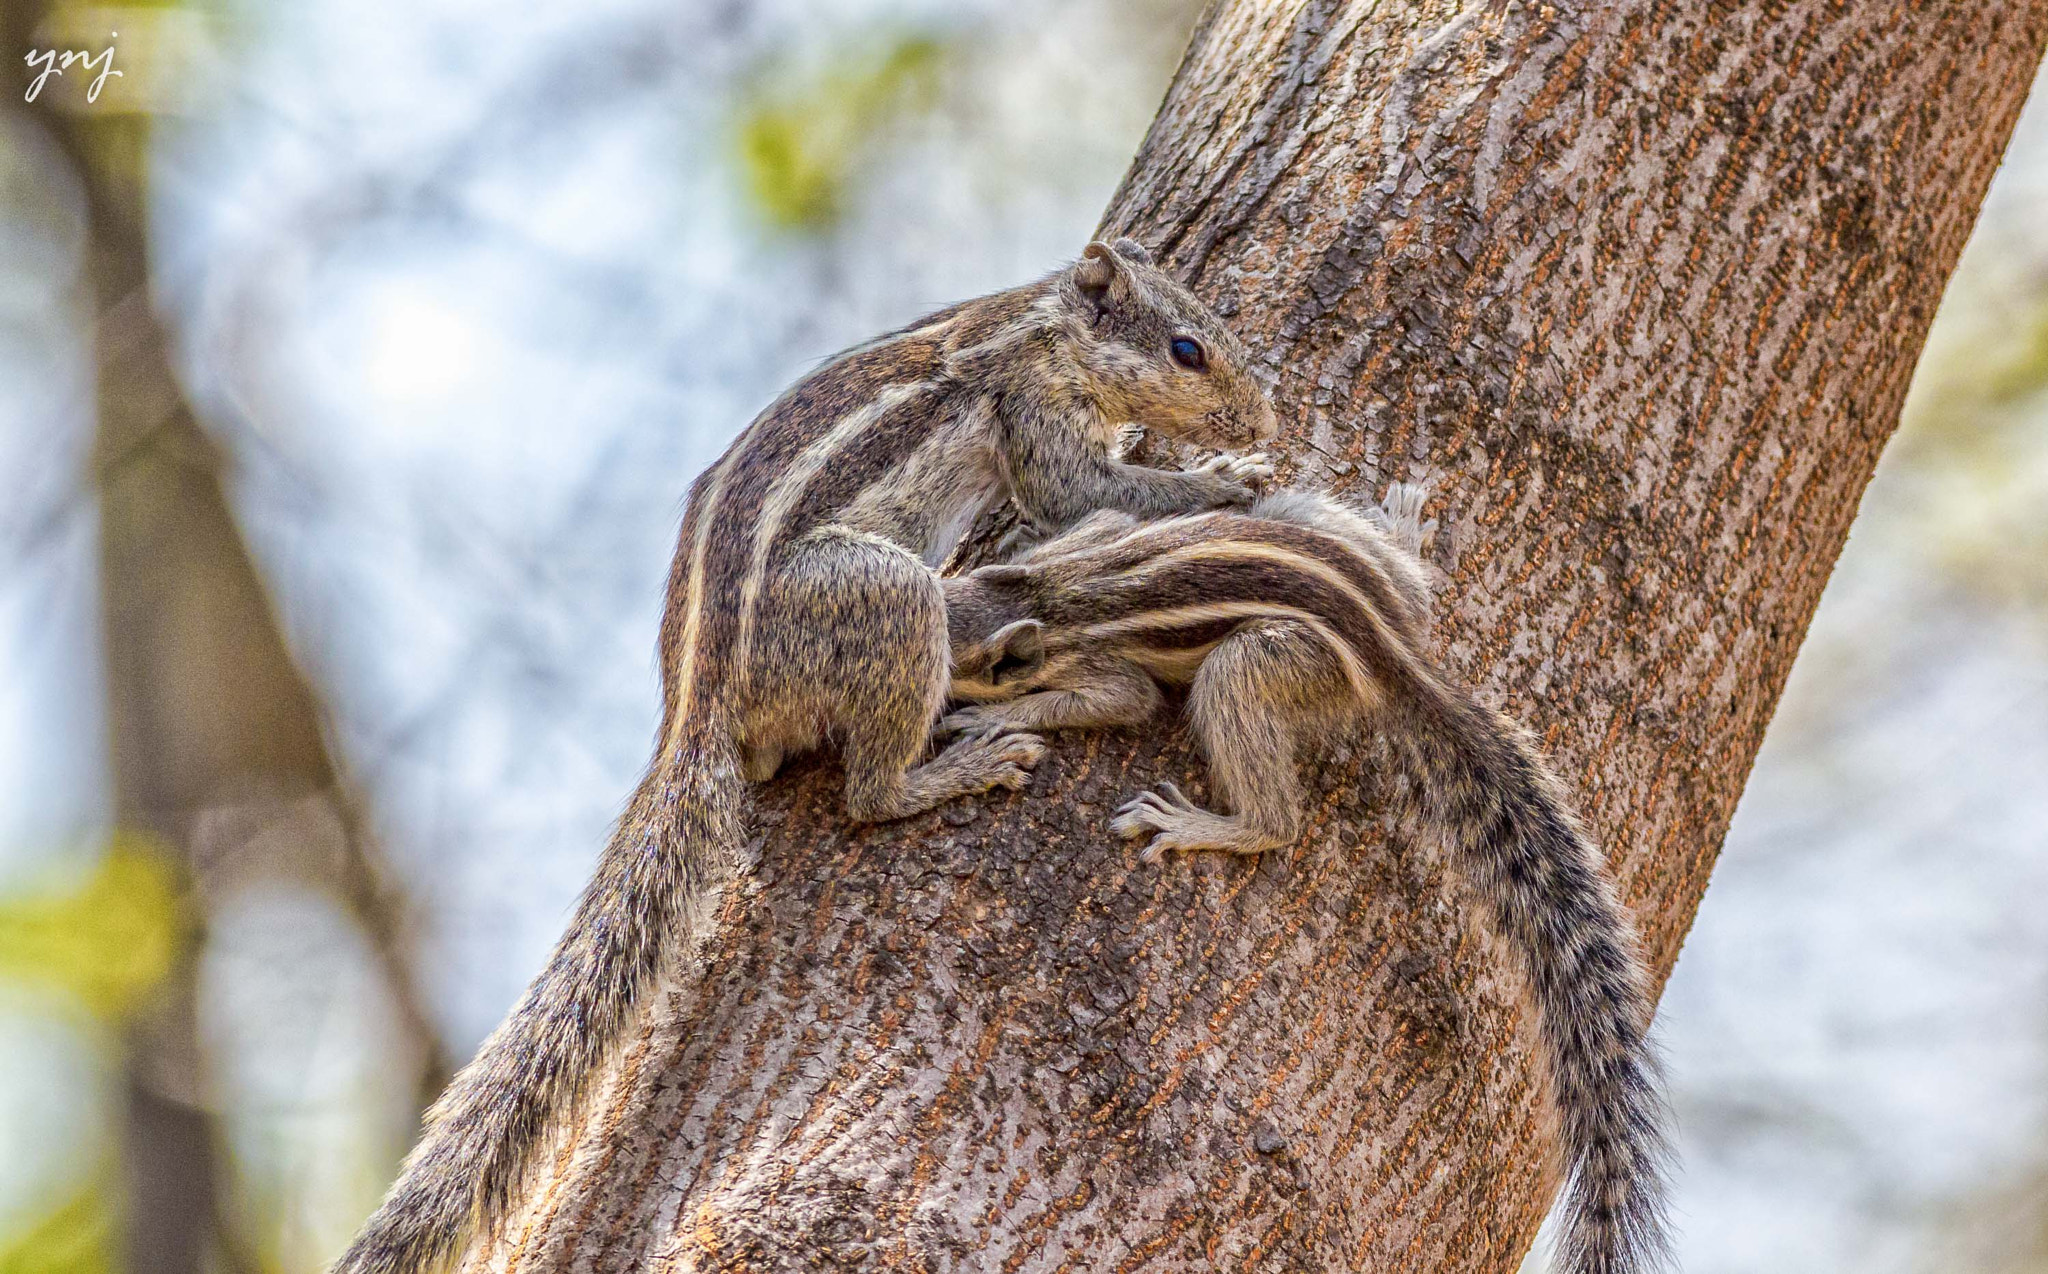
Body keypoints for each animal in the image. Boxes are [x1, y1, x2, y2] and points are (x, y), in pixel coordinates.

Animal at [339, 239, 1277, 1274]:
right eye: (1187, 349)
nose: (1264, 417)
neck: (1043, 324)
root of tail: (697, 712)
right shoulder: (1032, 418)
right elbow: (1088, 491)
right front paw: (1222, 479)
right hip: (887, 596)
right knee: (870, 792)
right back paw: (949, 770)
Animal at [937, 487, 1662, 1274]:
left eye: (941, 665)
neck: (1045, 595)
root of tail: (1395, 656)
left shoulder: (1105, 668)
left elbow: (1115, 700)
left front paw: (993, 715)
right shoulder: (1085, 541)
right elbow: (1106, 519)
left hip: (1257, 664)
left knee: (1275, 810)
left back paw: (1206, 825)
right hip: (1311, 529)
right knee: (1400, 581)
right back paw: (1403, 534)